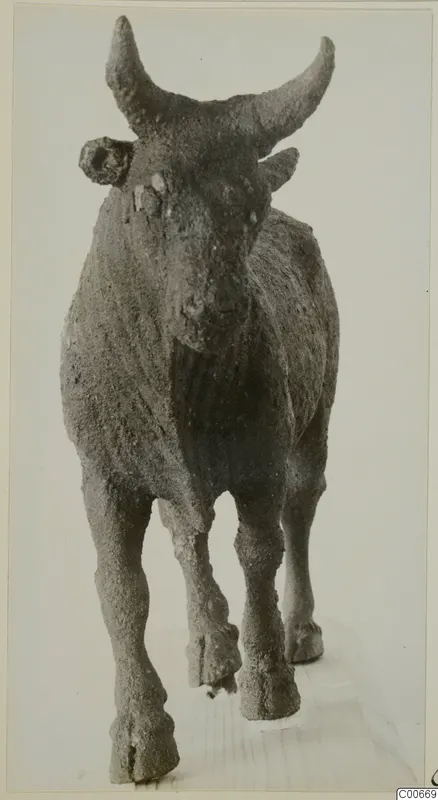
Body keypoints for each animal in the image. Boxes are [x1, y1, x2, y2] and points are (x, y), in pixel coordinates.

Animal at [60, 15, 339, 785]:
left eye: (252, 203)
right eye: (151, 194)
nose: (213, 311)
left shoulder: (261, 459)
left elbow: (260, 549)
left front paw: (270, 682)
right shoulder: (104, 475)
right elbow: (123, 588)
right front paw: (140, 735)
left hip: (318, 419)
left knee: (303, 509)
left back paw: (299, 632)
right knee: (186, 534)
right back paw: (210, 646)